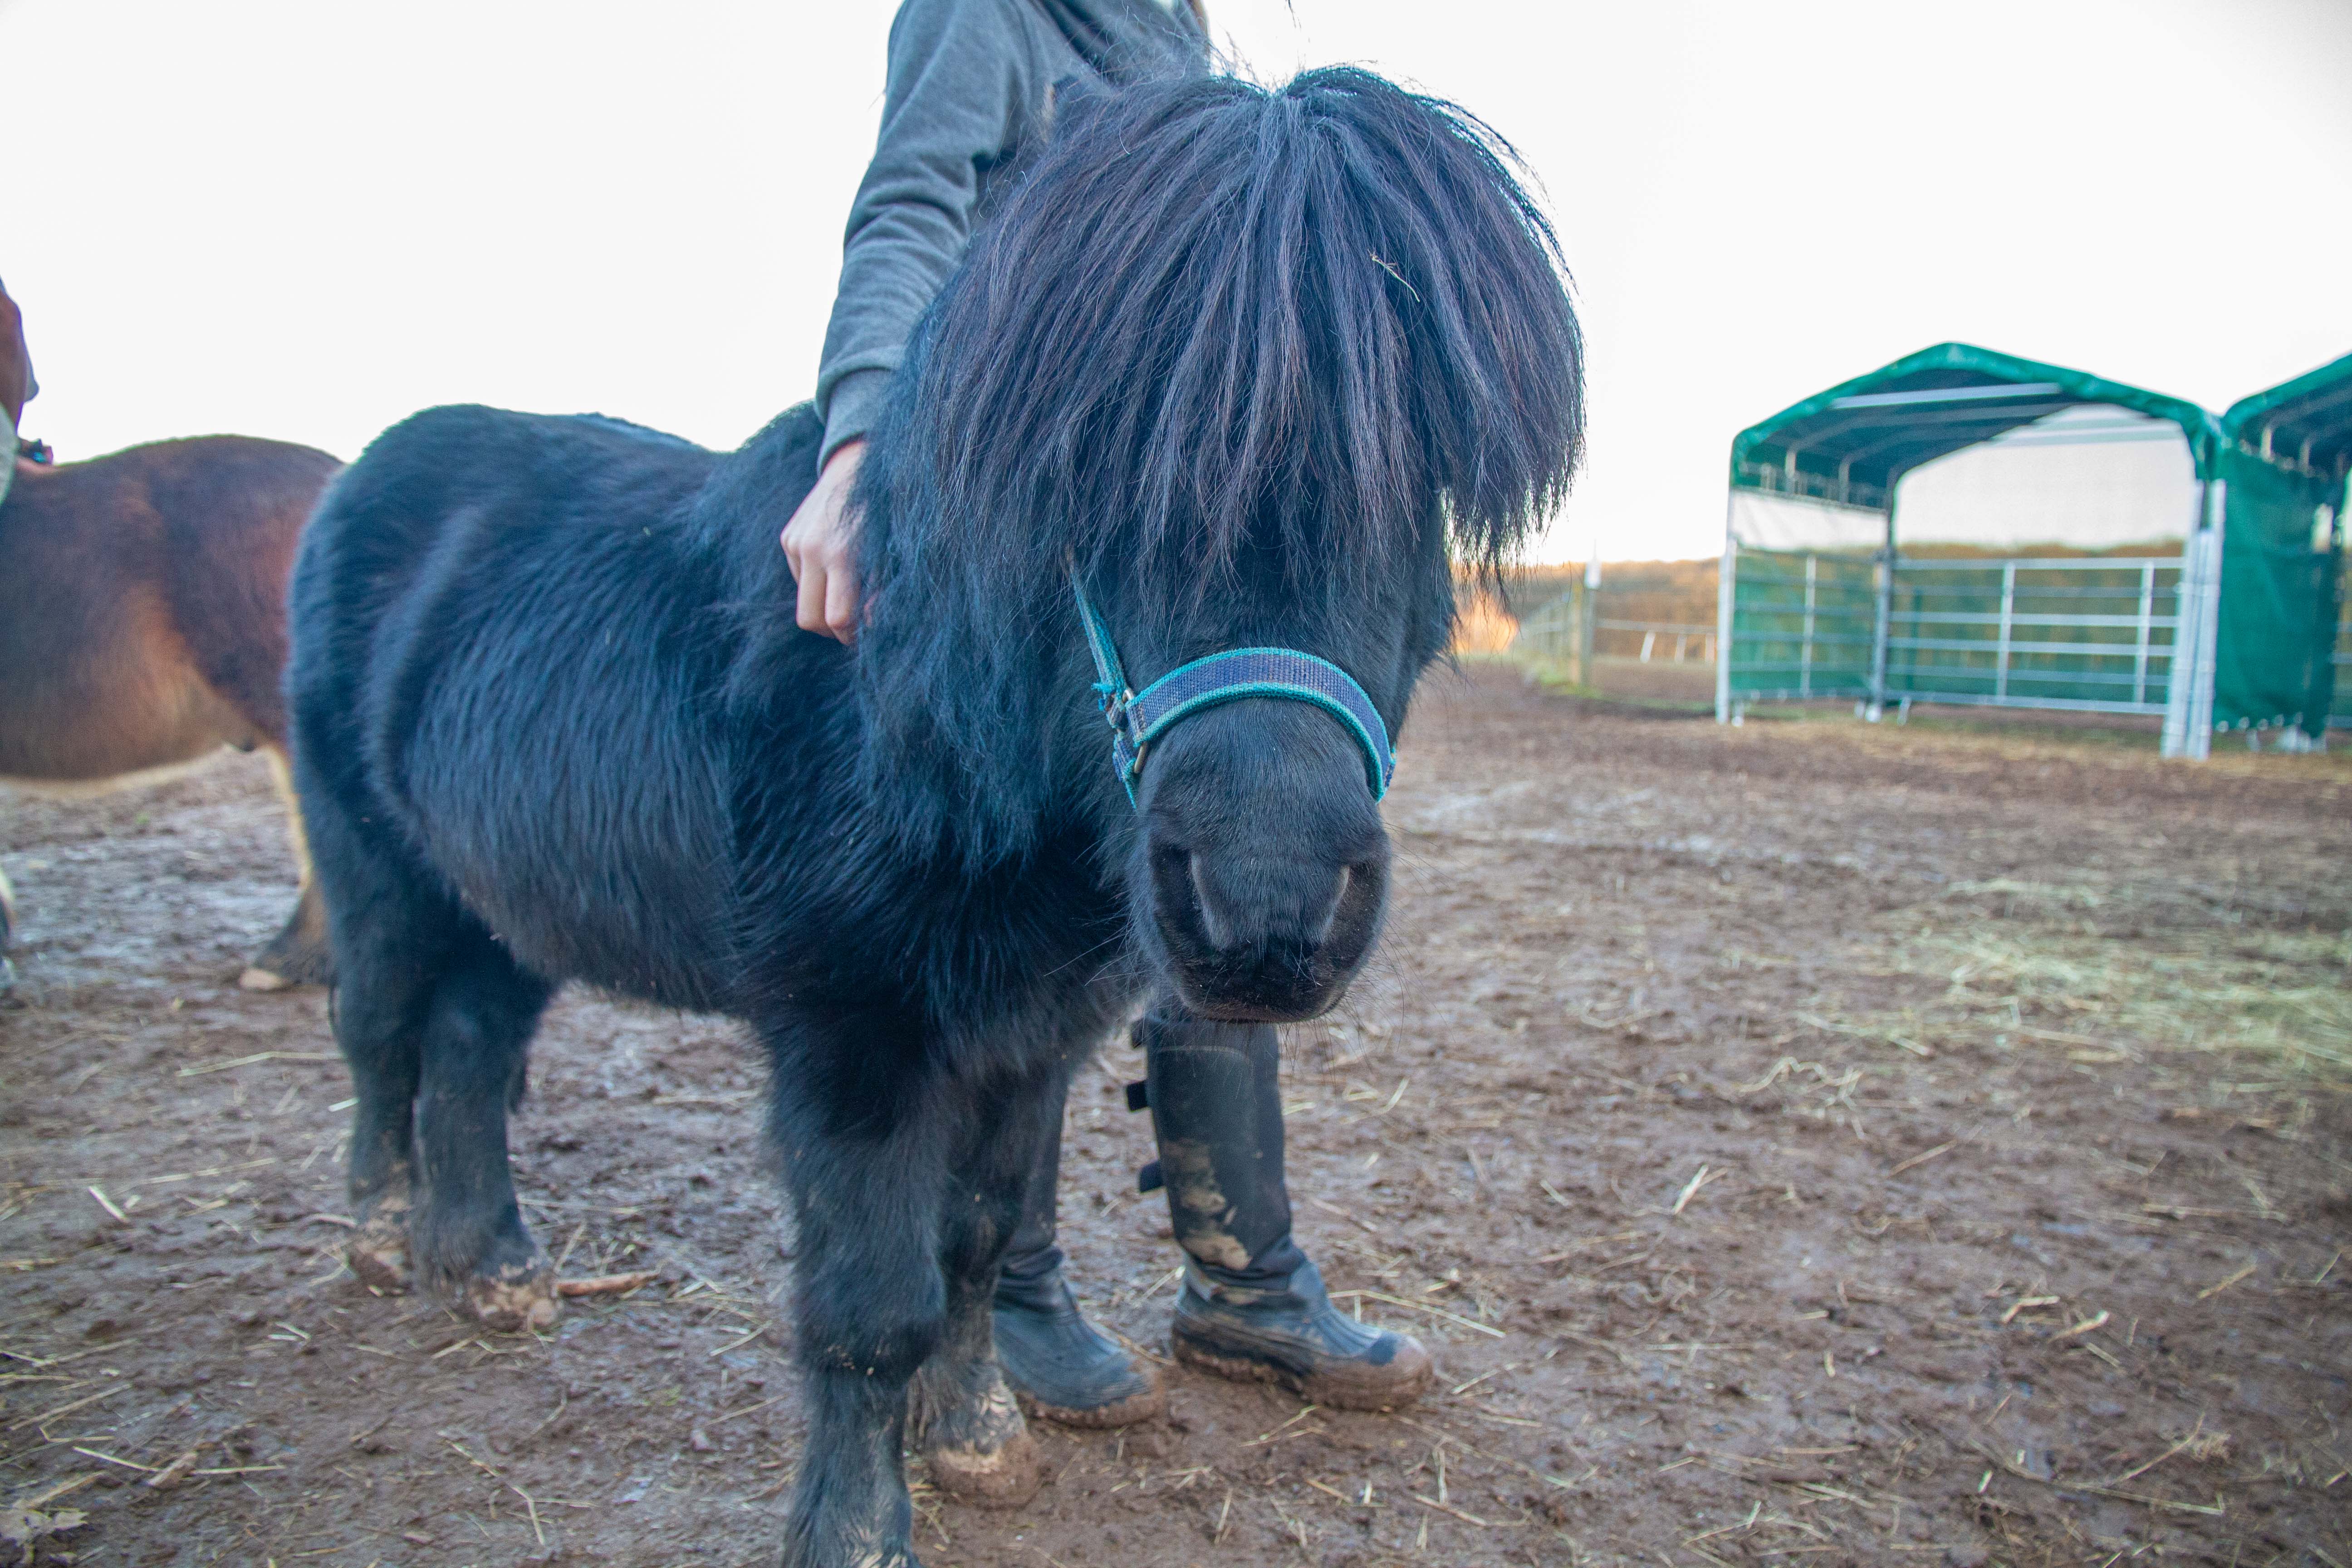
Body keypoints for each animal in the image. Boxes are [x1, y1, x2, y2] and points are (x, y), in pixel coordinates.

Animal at [285, 67, 1582, 1567]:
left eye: (1416, 482)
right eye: (1099, 479)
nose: (1267, 909)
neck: (912, 719)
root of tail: (359, 478)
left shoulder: (1026, 1036)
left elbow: (975, 1246)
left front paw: (975, 1438)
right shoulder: (855, 1037)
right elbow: (872, 1307)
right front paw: (853, 1528)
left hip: (512, 904)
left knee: (471, 1049)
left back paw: (491, 1267)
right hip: (376, 870)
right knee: (380, 1032)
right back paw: (383, 1238)